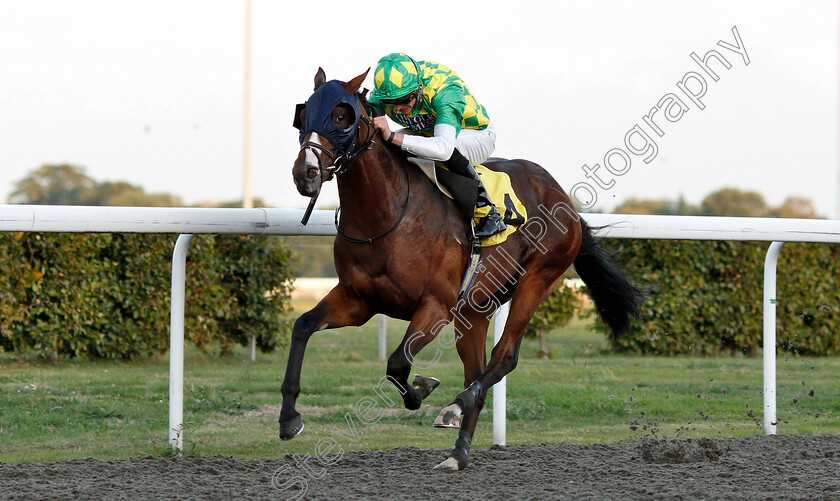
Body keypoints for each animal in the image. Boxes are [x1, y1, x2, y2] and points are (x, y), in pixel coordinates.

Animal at [282, 67, 644, 468]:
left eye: (341, 117)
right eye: (304, 114)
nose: (305, 172)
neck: (388, 215)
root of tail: (564, 198)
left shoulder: (436, 306)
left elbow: (398, 364)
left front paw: (423, 389)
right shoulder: (357, 300)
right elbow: (303, 326)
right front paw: (289, 419)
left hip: (537, 280)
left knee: (504, 358)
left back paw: (455, 408)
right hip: (475, 308)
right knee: (477, 371)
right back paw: (458, 452)